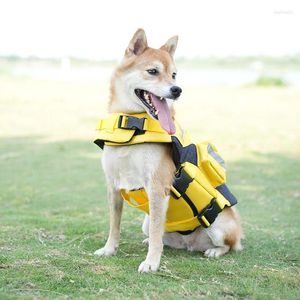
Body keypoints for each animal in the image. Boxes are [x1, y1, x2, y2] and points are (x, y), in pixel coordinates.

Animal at [94, 28, 244, 272]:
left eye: (174, 75)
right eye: (153, 71)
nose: (177, 90)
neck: (132, 126)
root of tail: (190, 244)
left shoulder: (157, 187)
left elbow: (157, 233)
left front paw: (151, 262)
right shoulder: (113, 186)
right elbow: (114, 225)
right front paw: (109, 249)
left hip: (220, 225)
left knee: (230, 245)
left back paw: (214, 250)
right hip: (147, 222)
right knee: (160, 236)